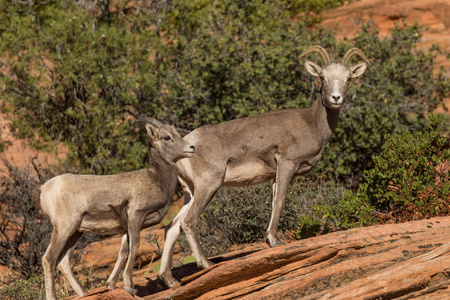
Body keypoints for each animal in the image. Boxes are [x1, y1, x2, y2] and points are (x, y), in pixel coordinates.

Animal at [34, 118, 196, 300]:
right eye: (167, 137)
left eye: (177, 134)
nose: (191, 148)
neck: (158, 179)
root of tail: (44, 189)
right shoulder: (135, 216)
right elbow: (135, 247)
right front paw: (129, 286)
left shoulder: (126, 227)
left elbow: (123, 252)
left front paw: (111, 285)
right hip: (64, 228)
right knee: (49, 259)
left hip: (75, 232)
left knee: (63, 262)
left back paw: (84, 293)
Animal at [158, 44, 370, 286]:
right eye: (322, 78)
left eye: (348, 78)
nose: (336, 98)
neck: (313, 123)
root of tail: (187, 145)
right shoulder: (287, 164)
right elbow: (280, 200)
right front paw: (274, 240)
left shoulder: (276, 175)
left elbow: (273, 201)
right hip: (208, 186)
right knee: (188, 222)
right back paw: (206, 264)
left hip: (191, 192)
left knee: (172, 228)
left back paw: (169, 280)